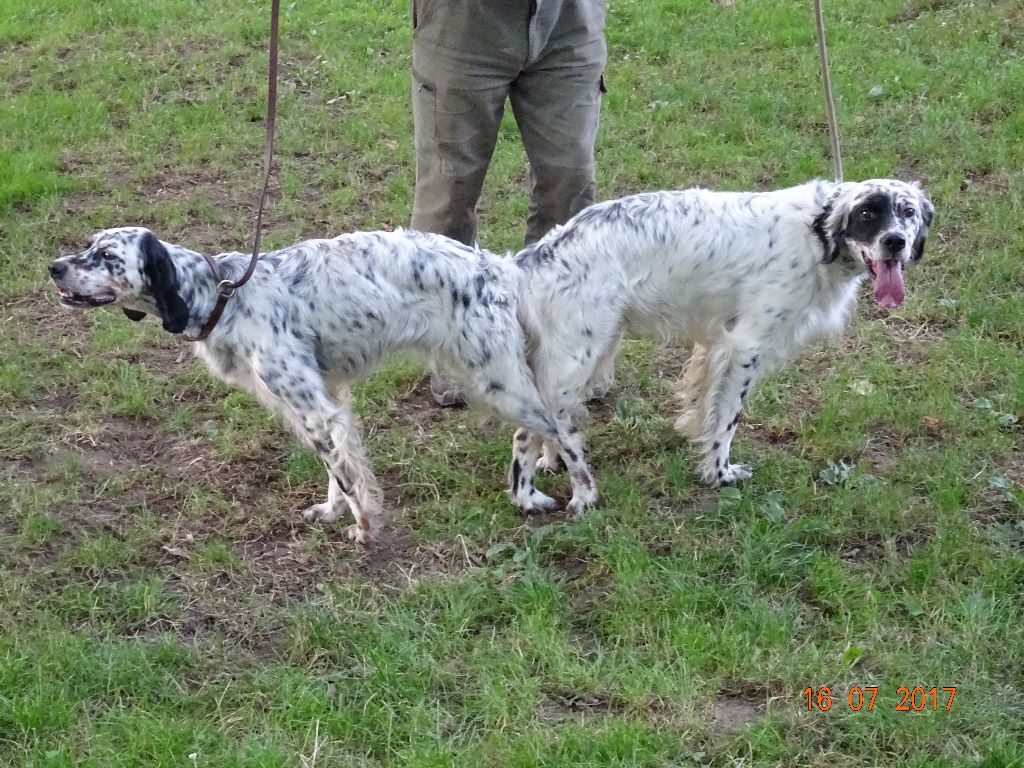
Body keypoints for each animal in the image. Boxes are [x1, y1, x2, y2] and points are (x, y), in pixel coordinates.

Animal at [49, 227, 598, 540]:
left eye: (106, 256)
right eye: (87, 246)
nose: (53, 266)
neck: (224, 294)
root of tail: (498, 267)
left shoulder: (314, 409)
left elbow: (348, 476)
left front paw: (365, 529)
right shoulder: (328, 401)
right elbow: (340, 468)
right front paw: (335, 514)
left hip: (495, 376)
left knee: (559, 427)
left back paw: (575, 498)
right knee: (546, 427)